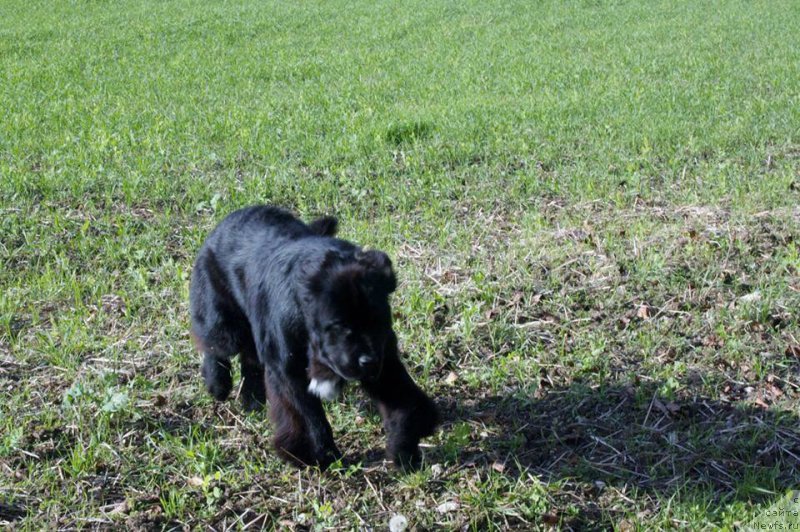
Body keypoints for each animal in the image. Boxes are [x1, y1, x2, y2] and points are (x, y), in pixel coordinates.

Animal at [189, 206, 438, 468]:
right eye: (339, 325)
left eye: (378, 321)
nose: (367, 361)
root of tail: (232, 217)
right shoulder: (289, 369)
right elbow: (308, 417)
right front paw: (322, 454)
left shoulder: (384, 359)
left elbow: (400, 397)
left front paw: (404, 448)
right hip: (223, 317)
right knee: (216, 342)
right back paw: (217, 383)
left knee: (249, 354)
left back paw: (252, 399)